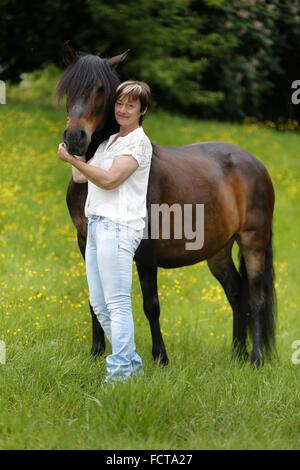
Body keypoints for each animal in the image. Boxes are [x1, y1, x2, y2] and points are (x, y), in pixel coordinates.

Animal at [56, 43, 276, 368]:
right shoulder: (86, 243)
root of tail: (256, 164)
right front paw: (96, 351)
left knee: (257, 297)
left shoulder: (146, 252)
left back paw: (256, 359)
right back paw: (236, 353)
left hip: (253, 242)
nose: (74, 138)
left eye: (100, 89)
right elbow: (94, 299)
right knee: (237, 293)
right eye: (69, 87)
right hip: (219, 251)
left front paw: (160, 357)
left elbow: (151, 305)